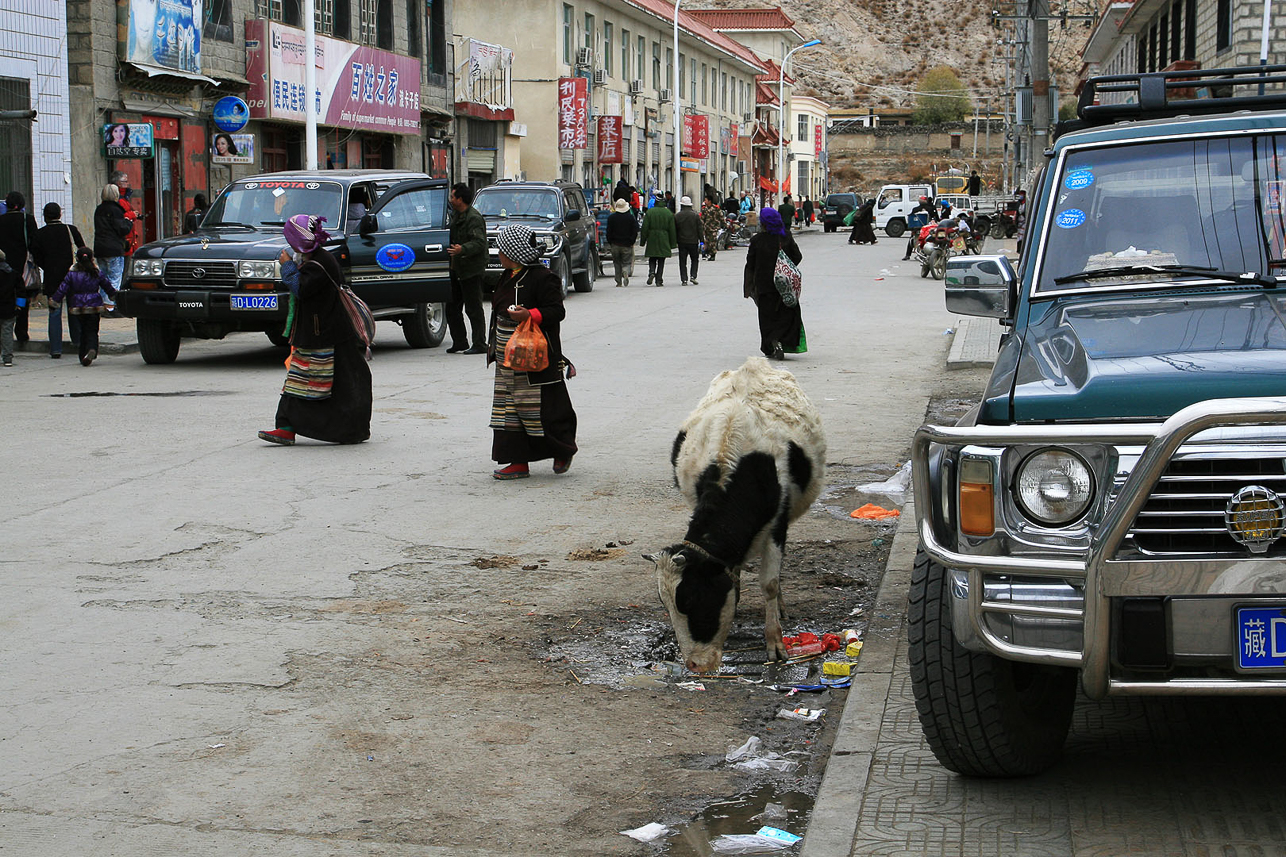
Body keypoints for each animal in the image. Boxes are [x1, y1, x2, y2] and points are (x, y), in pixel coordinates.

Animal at [648, 355, 828, 674]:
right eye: (664, 605)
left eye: (692, 599)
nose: (695, 665)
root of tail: (754, 363)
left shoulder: (777, 525)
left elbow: (769, 583)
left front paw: (775, 642)